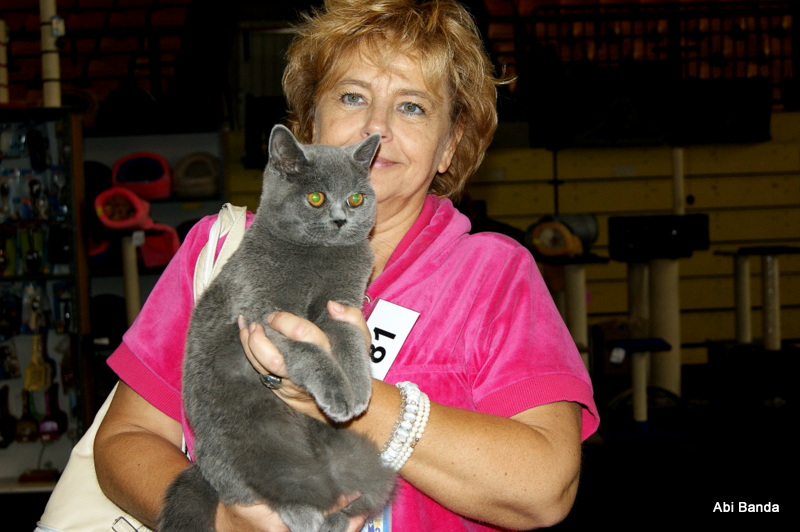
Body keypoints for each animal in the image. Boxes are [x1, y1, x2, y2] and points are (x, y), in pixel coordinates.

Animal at [159, 125, 396, 532]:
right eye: (316, 198)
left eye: (355, 198)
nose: (340, 219)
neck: (320, 257)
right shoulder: (263, 312)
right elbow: (308, 350)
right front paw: (338, 393)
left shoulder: (343, 305)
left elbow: (350, 342)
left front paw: (359, 389)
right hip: (242, 437)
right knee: (257, 486)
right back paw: (303, 514)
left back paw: (334, 517)